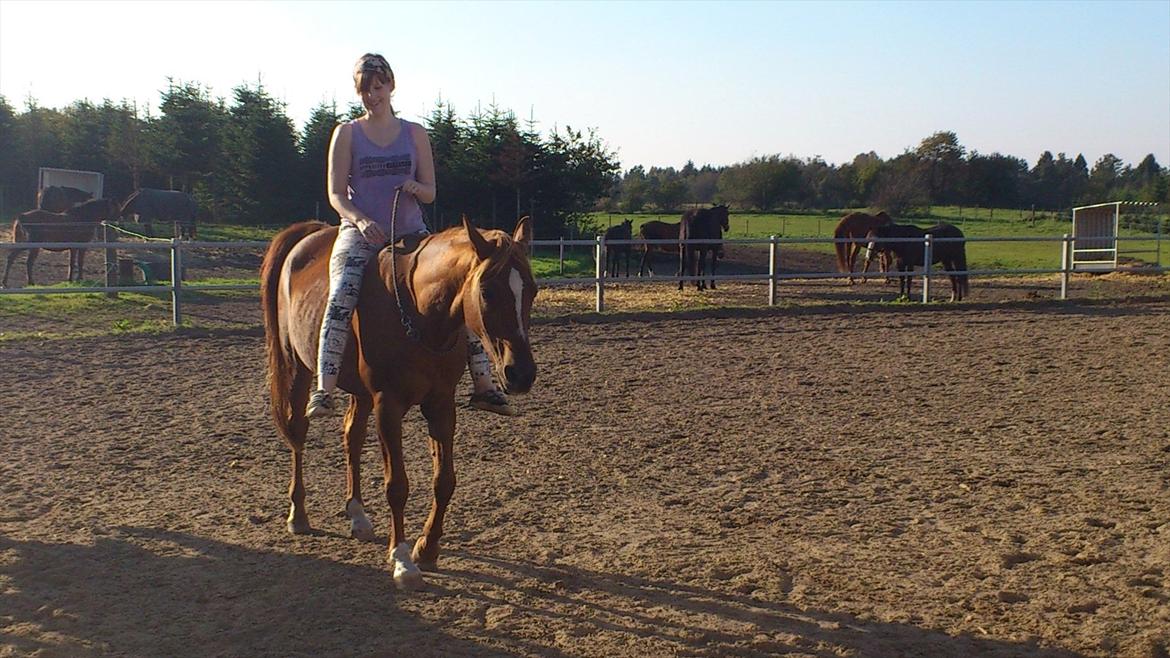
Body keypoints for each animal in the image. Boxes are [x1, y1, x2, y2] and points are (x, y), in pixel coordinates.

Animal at [259, 215, 535, 590]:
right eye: (487, 291)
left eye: (532, 290)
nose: (521, 374)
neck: (419, 312)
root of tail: (311, 233)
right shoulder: (387, 406)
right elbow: (397, 486)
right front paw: (403, 559)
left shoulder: (441, 404)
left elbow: (444, 481)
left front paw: (427, 548)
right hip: (297, 366)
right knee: (298, 432)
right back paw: (298, 514)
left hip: (360, 393)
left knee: (352, 436)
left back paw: (357, 516)